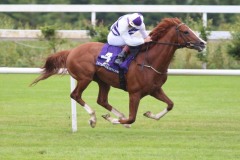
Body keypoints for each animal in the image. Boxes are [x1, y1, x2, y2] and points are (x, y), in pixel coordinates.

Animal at [30, 17, 206, 127]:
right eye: (186, 31)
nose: (202, 43)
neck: (150, 61)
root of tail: (72, 51)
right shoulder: (134, 93)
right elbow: (132, 118)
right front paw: (113, 120)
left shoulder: (155, 89)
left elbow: (170, 104)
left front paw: (150, 114)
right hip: (85, 78)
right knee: (76, 95)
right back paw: (94, 118)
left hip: (103, 81)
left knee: (102, 100)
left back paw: (116, 114)